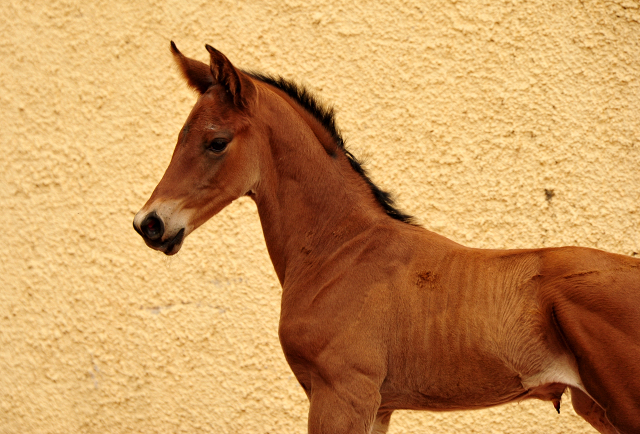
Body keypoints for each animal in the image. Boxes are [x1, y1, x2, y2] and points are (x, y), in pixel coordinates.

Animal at [135, 43, 640, 434]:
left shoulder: (342, 395)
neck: (341, 250)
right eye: (179, 137)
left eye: (216, 142)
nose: (150, 224)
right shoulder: (377, 405)